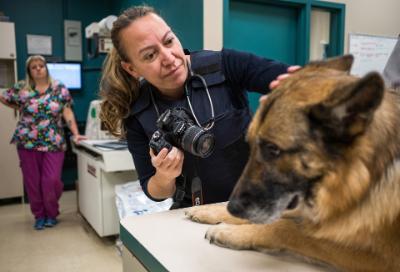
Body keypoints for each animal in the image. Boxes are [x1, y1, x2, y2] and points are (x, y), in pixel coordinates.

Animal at [186, 55, 400, 272]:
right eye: (251, 143)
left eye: (272, 149)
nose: (233, 207)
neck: (365, 177)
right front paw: (210, 210)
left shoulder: (381, 259)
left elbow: (288, 229)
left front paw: (233, 232)